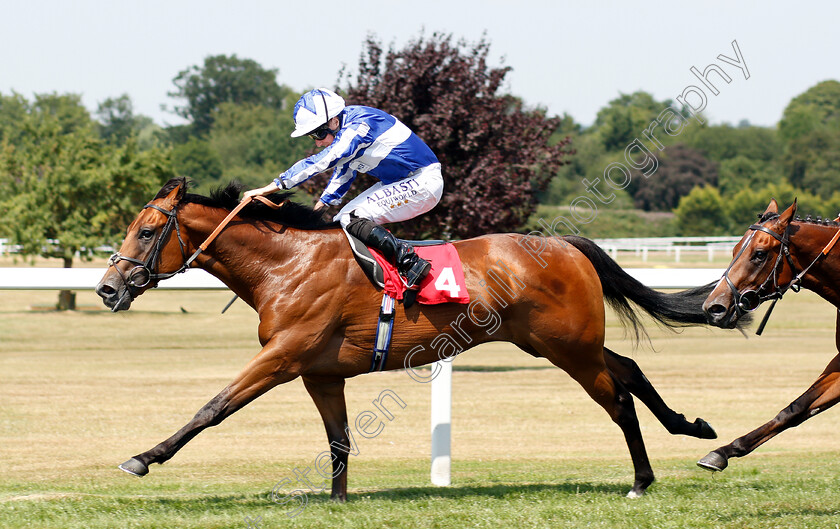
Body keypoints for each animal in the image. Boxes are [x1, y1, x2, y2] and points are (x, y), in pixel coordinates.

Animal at [97, 179, 728, 498]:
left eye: (147, 231)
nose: (107, 289)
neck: (285, 263)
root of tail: (567, 244)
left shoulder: (282, 358)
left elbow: (213, 407)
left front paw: (143, 458)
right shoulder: (319, 371)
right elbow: (339, 438)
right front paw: (338, 499)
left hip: (567, 347)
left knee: (617, 398)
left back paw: (642, 480)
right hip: (560, 342)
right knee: (629, 370)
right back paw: (692, 428)